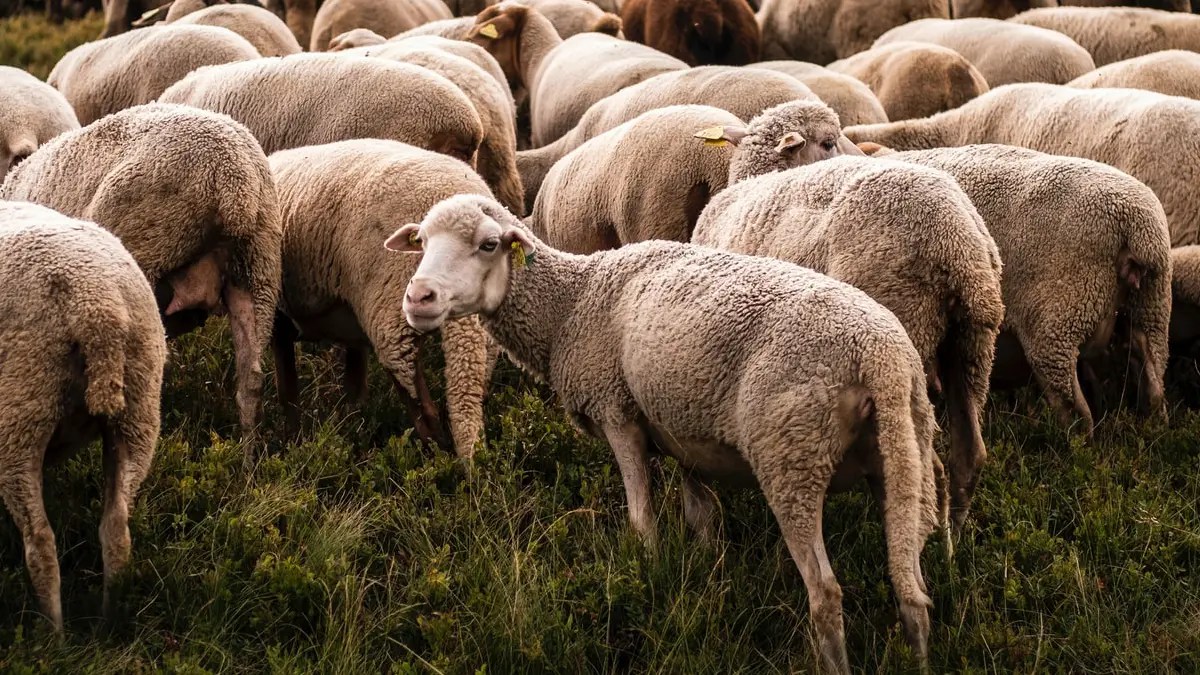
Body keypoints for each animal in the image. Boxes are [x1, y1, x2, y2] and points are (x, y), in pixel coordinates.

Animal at [0, 200, 166, 632]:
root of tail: (97, 304)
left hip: (20, 412)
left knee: (40, 541)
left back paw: (53, 634)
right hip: (138, 410)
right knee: (116, 528)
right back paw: (111, 622)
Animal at [269, 139, 493, 456]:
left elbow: (289, 388)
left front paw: (295, 442)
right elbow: (346, 384)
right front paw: (347, 424)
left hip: (391, 309)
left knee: (417, 398)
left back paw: (437, 456)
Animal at [389, 193, 944, 674]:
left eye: (488, 244)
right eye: (423, 241)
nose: (418, 297)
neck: (570, 303)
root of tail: (878, 354)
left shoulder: (617, 411)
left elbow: (642, 520)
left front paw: (648, 579)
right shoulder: (682, 435)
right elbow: (702, 517)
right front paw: (706, 579)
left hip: (792, 454)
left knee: (826, 593)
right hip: (904, 451)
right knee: (913, 588)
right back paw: (919, 657)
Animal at [695, 132, 1003, 529]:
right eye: (828, 142)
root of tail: (957, 241)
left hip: (904, 324)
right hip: (972, 344)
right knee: (970, 455)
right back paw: (956, 534)